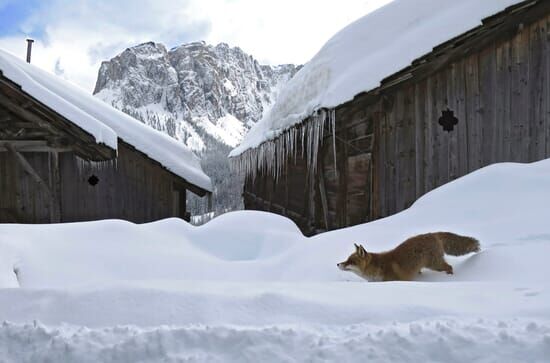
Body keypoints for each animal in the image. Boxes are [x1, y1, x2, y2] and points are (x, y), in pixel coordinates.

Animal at [338, 233, 480, 282]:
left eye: (351, 261)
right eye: (347, 260)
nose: (338, 264)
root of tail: (431, 234)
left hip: (434, 264)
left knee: (449, 267)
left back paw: (449, 278)